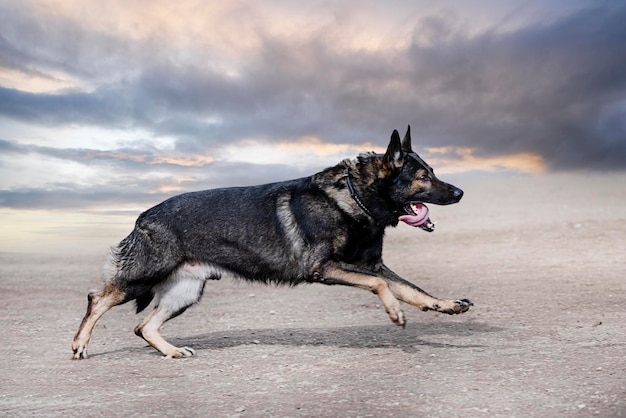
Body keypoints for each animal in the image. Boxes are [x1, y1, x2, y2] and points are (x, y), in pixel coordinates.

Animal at [70, 127, 468, 360]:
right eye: (423, 176)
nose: (461, 193)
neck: (354, 196)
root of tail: (143, 216)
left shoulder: (370, 264)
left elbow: (410, 288)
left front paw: (444, 305)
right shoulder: (325, 268)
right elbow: (382, 286)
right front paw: (395, 313)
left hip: (186, 291)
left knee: (144, 326)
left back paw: (171, 351)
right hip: (141, 277)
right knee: (97, 298)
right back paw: (80, 344)